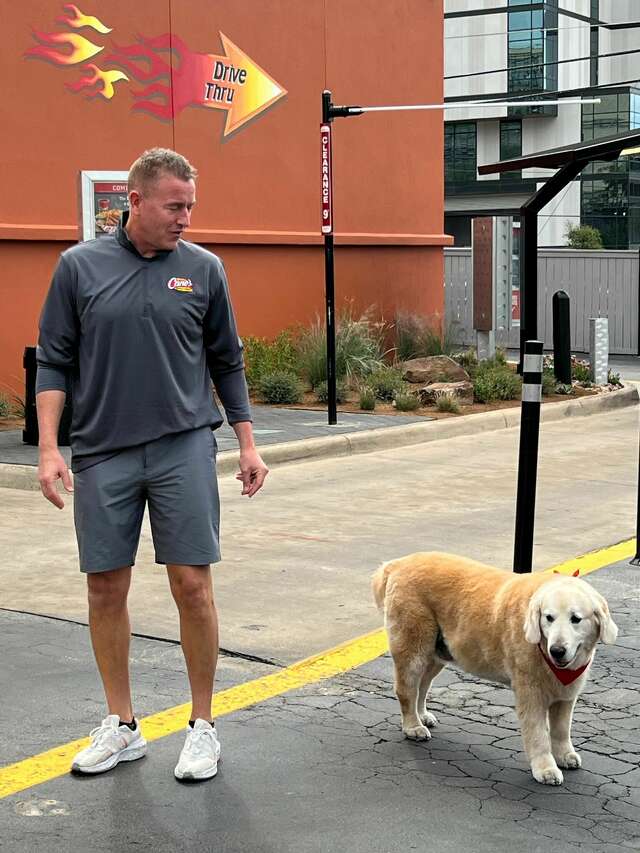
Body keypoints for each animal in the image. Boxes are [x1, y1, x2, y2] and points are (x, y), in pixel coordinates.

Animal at [372, 552, 616, 784]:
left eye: (576, 619)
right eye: (549, 618)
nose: (557, 650)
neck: (543, 650)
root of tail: (397, 563)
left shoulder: (566, 692)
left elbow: (562, 729)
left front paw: (565, 754)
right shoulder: (530, 691)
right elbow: (538, 733)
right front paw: (545, 769)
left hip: (438, 651)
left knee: (422, 686)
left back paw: (421, 715)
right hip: (414, 642)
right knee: (407, 689)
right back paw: (412, 726)